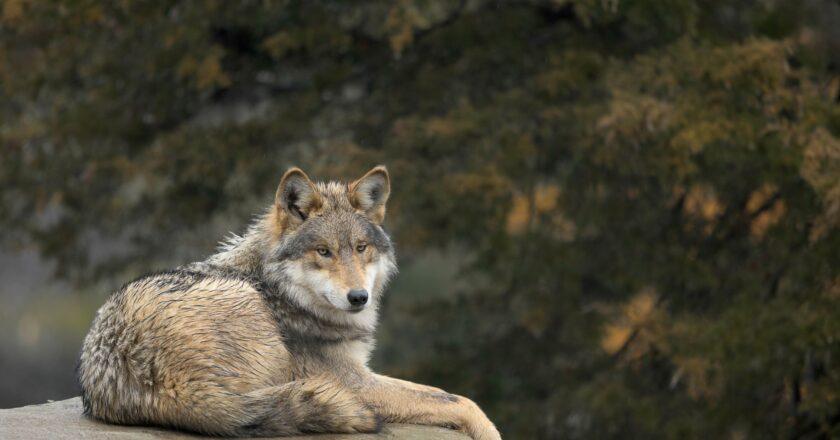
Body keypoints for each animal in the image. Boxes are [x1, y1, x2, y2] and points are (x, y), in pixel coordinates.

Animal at [77, 166, 501, 440]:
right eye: (323, 251)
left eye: (360, 248)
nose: (358, 297)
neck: (279, 291)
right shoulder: (353, 381)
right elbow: (460, 400)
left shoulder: (360, 372)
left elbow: (447, 394)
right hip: (253, 318)